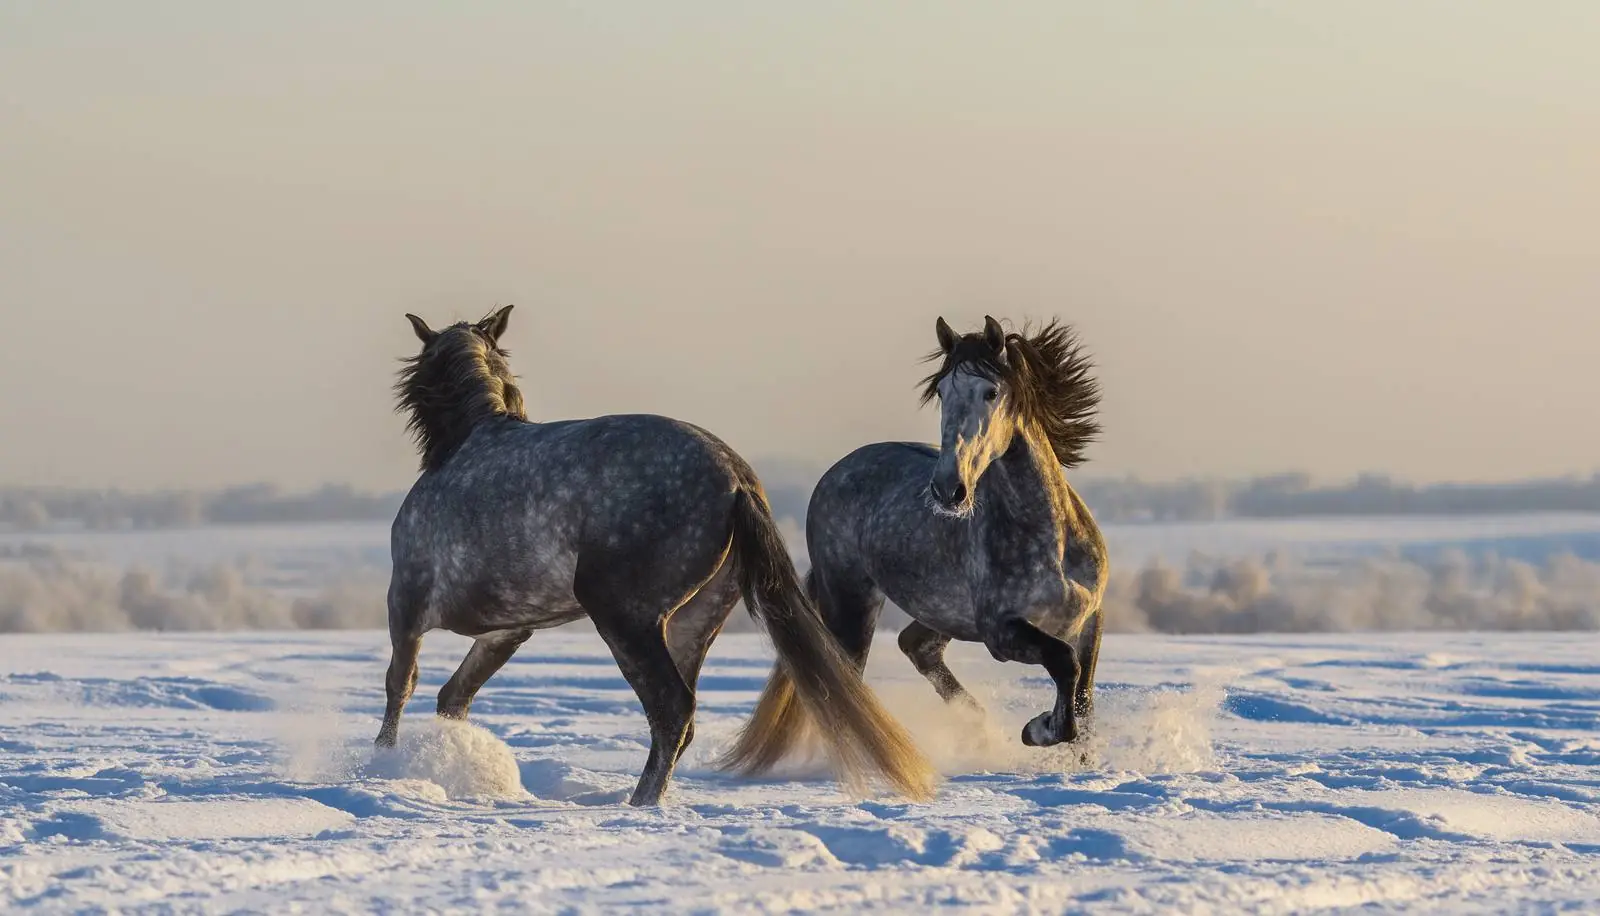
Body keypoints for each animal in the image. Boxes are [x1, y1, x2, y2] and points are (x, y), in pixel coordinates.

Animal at [377, 305, 935, 806]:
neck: (462, 449)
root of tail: (734, 478)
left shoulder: (406, 605)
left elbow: (401, 684)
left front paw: (381, 762)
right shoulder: (506, 632)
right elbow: (454, 697)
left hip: (625, 618)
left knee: (670, 708)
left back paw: (641, 802)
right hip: (691, 622)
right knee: (681, 717)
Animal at [719, 315, 1107, 774]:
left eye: (991, 392)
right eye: (941, 393)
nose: (948, 490)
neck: (1052, 542)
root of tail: (837, 471)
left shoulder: (1088, 620)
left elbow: (1081, 696)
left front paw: (1079, 760)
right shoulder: (1000, 632)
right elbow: (1064, 666)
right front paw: (1037, 729)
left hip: (941, 615)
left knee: (915, 647)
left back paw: (977, 728)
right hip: (853, 604)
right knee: (847, 681)